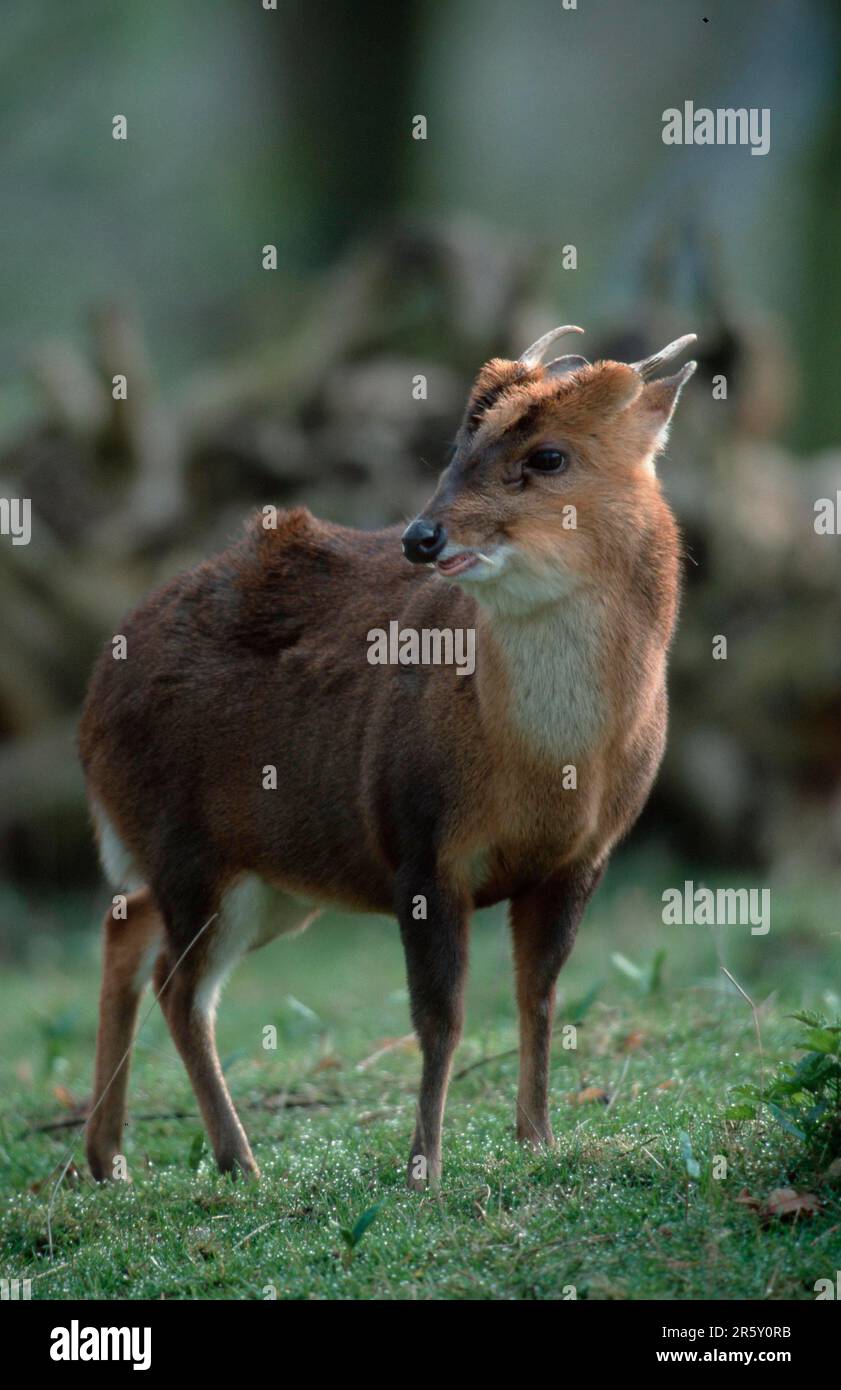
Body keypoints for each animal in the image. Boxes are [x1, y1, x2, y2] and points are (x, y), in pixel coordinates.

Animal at [78, 325, 695, 1184]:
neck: (552, 765)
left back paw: (108, 1156)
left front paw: (536, 1138)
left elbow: (537, 997)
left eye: (548, 456)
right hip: (191, 848)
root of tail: (91, 704)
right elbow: (440, 1016)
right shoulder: (419, 841)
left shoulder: (580, 858)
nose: (421, 536)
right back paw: (237, 1159)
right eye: (456, 446)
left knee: (129, 928)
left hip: (266, 875)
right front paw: (423, 1166)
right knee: (177, 981)